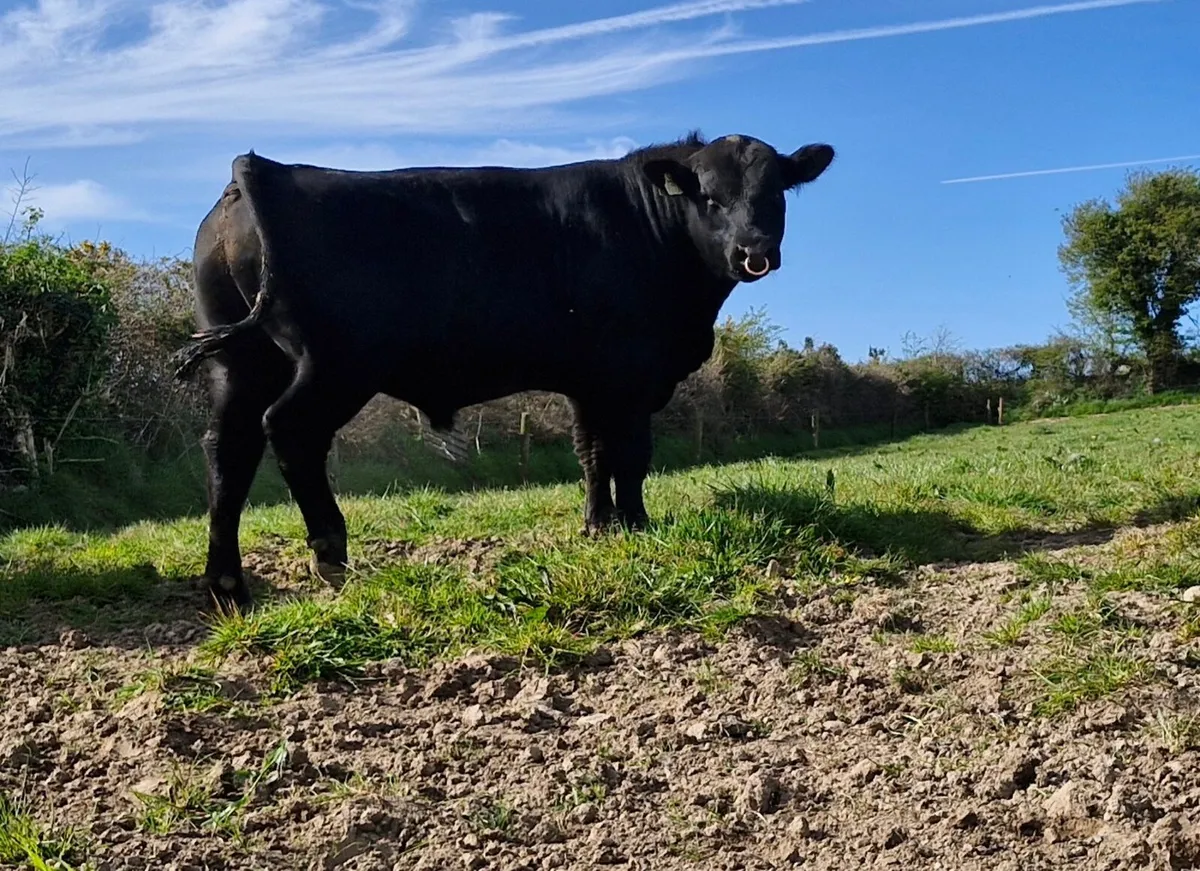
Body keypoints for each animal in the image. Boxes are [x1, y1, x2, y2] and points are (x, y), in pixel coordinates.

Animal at [174, 131, 836, 608]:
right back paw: (331, 554)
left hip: (241, 362)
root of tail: (263, 171)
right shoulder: (629, 377)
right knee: (289, 431)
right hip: (337, 365)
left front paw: (599, 527)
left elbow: (591, 453)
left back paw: (228, 586)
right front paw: (637, 526)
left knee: (226, 449)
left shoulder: (588, 382)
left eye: (774, 193)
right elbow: (630, 455)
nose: (753, 252)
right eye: (710, 197)